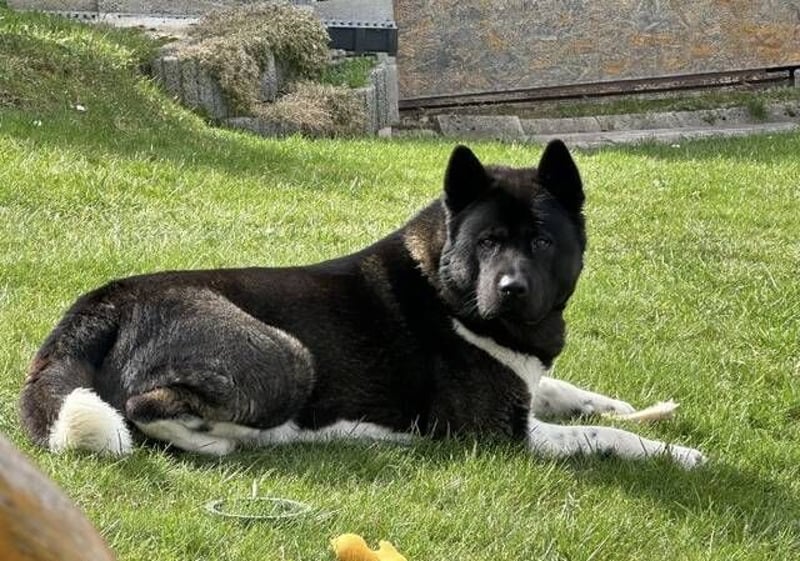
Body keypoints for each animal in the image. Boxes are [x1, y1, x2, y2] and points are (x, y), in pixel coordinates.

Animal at [19, 140, 705, 469]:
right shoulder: (501, 434)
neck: (448, 289)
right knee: (141, 408)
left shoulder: (528, 388)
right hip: (288, 356)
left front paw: (637, 407)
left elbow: (572, 395)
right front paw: (677, 455)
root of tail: (99, 304)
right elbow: (601, 437)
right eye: (488, 242)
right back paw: (224, 441)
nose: (511, 289)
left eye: (540, 240)